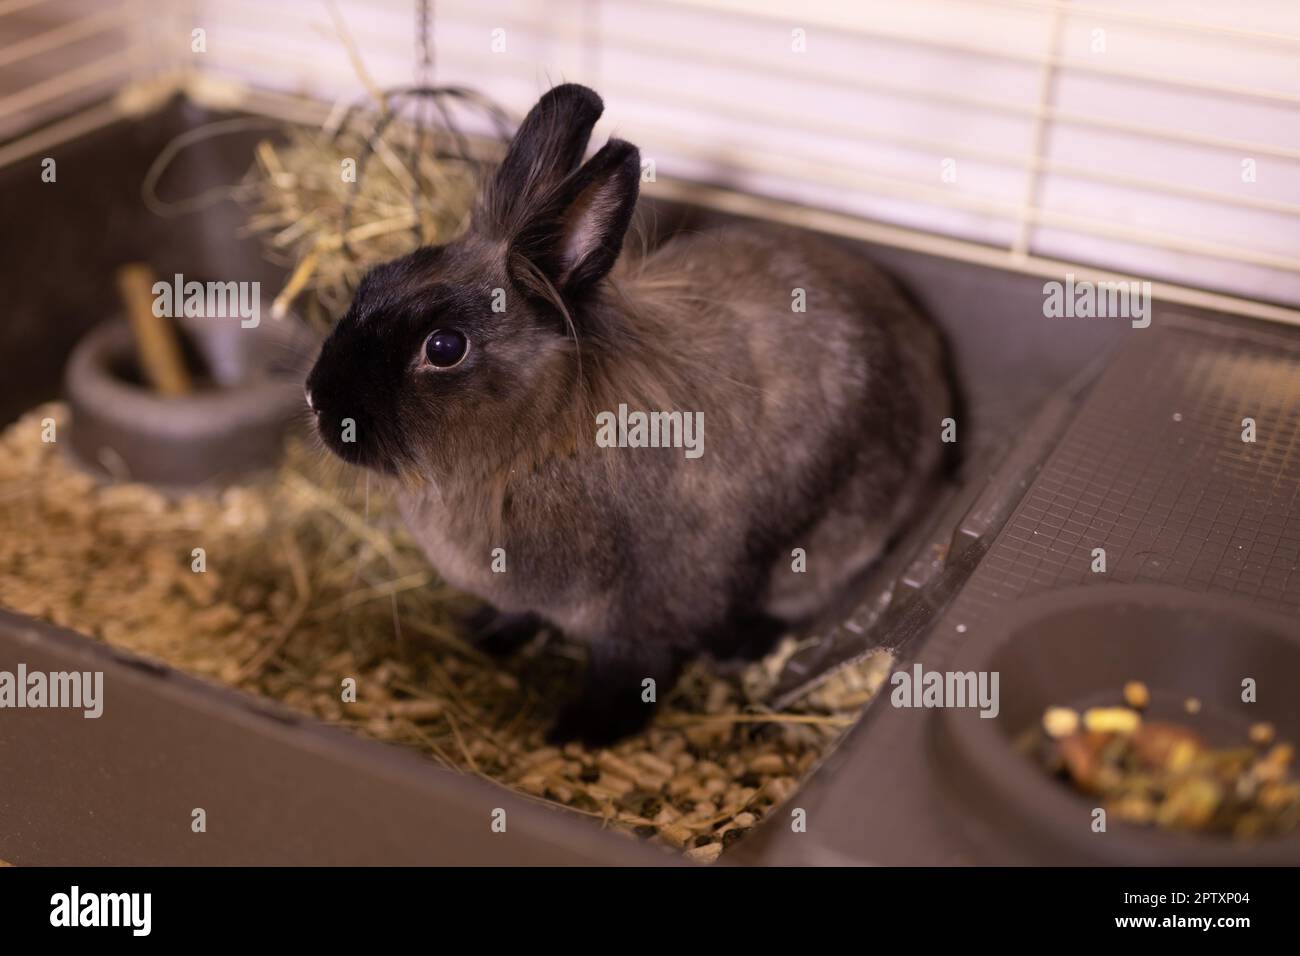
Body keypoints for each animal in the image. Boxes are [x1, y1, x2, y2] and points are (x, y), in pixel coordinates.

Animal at [305, 83, 955, 745]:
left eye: (443, 347)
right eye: (374, 279)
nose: (318, 400)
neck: (533, 449)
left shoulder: (642, 615)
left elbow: (625, 674)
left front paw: (580, 732)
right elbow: (514, 616)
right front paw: (482, 633)